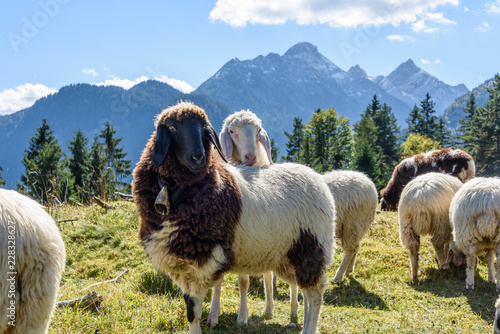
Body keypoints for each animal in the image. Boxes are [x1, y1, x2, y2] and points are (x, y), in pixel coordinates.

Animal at [133, 102, 336, 334]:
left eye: (204, 129)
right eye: (172, 128)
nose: (198, 157)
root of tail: (316, 178)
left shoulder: (203, 262)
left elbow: (194, 309)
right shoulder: (183, 267)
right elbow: (191, 311)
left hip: (312, 248)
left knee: (316, 295)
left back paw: (309, 327)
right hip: (288, 255)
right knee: (305, 292)